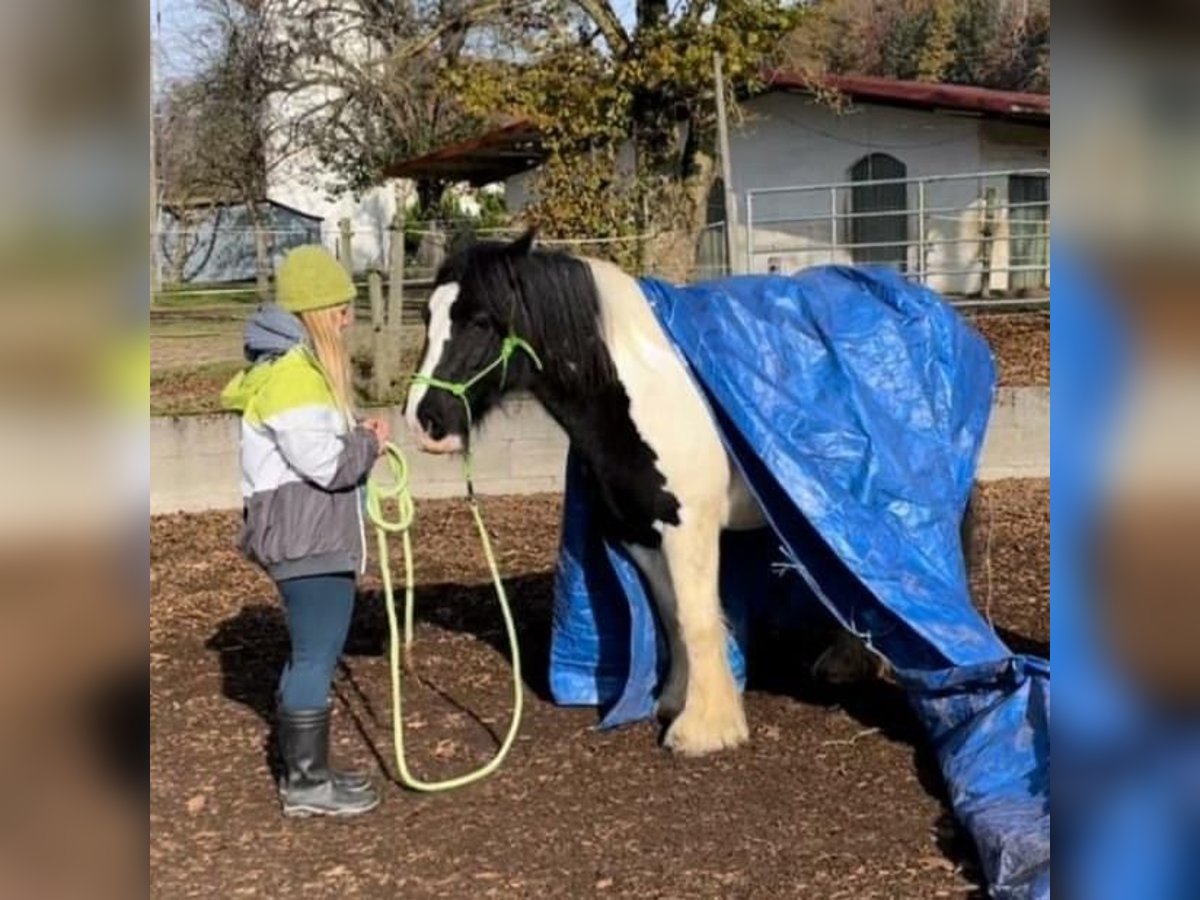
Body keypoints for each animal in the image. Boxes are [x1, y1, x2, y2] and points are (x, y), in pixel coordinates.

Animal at [403, 229, 892, 758]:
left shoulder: (689, 527)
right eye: (427, 316)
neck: (644, 393)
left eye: (480, 321)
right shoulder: (640, 531)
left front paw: (704, 729)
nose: (424, 422)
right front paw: (675, 701)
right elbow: (672, 616)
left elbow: (698, 618)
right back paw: (849, 663)